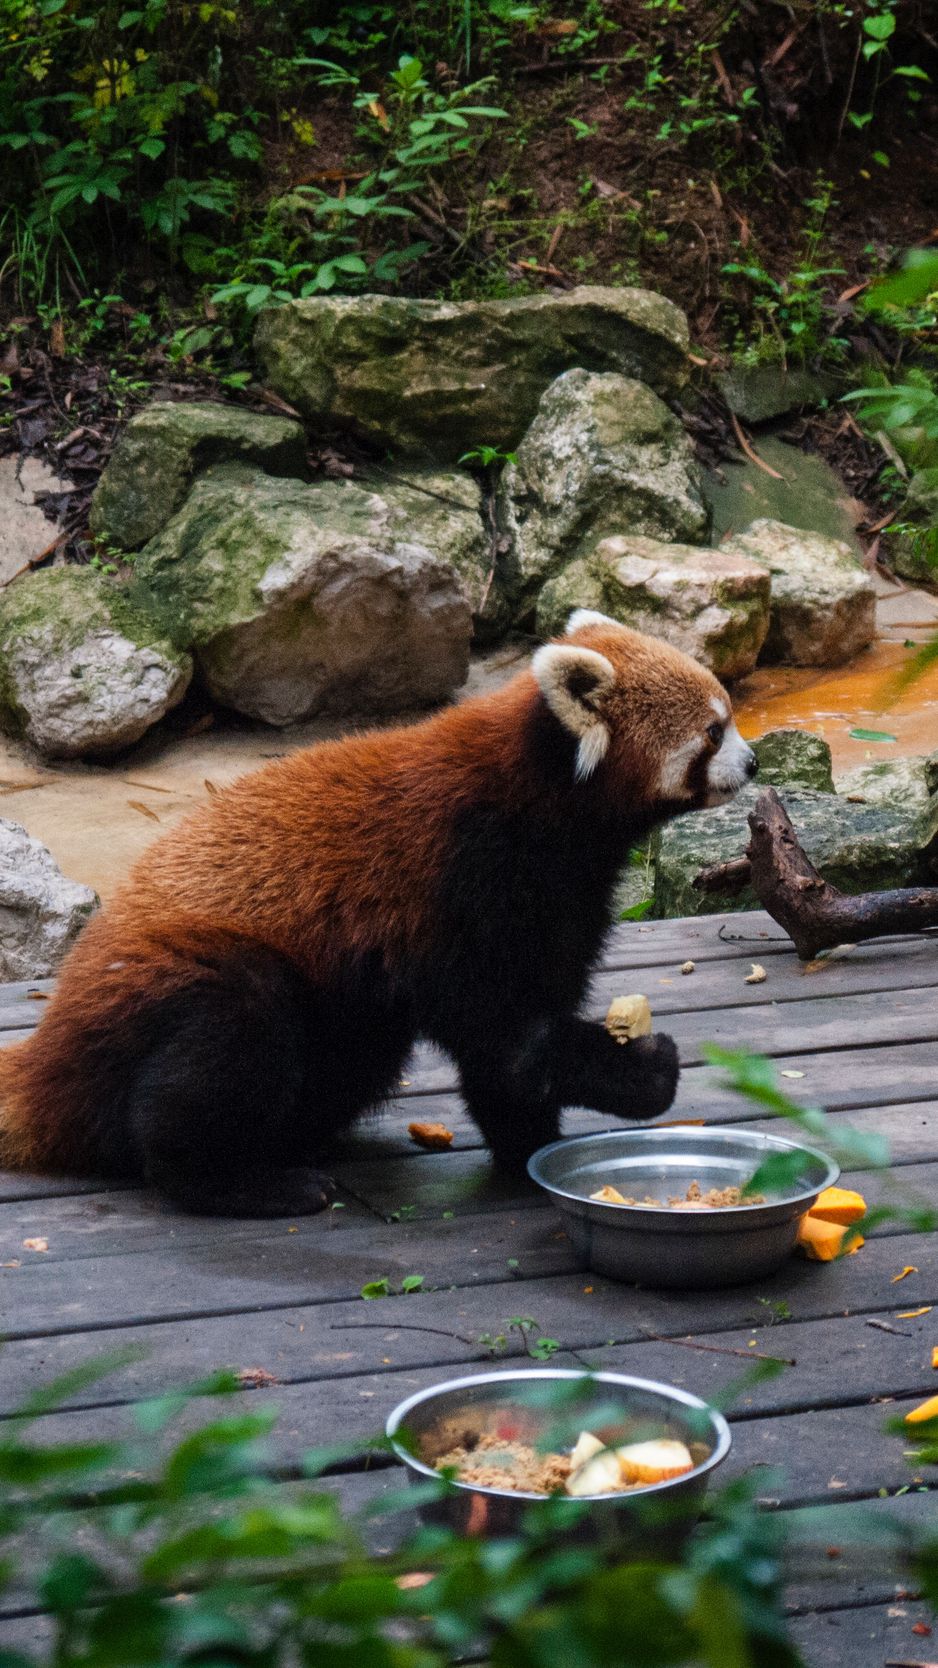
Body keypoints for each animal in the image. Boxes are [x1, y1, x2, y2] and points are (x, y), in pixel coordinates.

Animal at [0, 613, 751, 1214]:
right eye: (713, 731)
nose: (751, 762)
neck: (547, 802)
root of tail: (46, 1057)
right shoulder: (462, 881)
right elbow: (504, 1031)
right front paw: (643, 1070)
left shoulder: (562, 897)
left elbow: (514, 1051)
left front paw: (529, 1146)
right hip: (172, 984)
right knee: (226, 1036)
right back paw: (240, 1182)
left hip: (348, 1025)